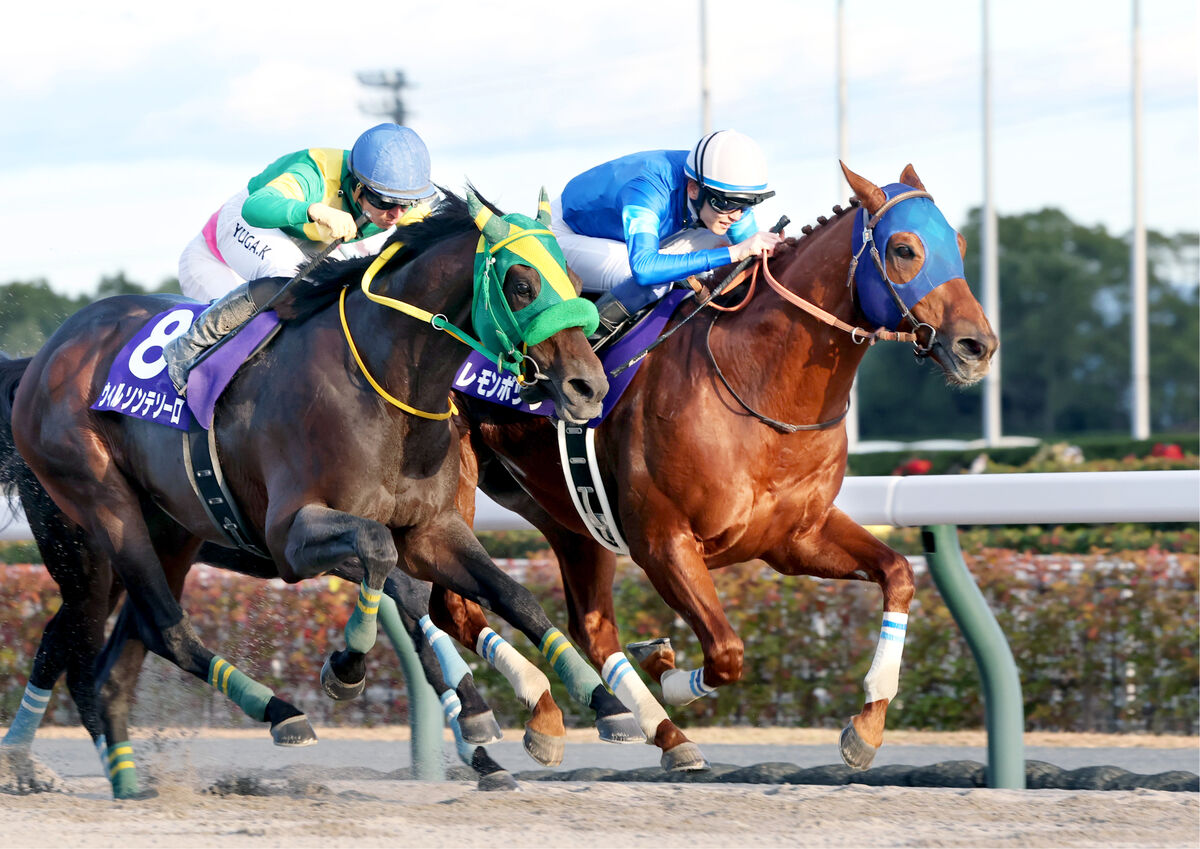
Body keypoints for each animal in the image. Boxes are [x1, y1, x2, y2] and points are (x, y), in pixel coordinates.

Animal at [2, 189, 648, 801]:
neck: (386, 386)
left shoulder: (432, 530)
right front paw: (353, 670)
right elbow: (387, 565)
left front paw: (599, 705)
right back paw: (277, 713)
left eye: (574, 279)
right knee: (152, 629)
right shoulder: (292, 537)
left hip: (170, 536)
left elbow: (512, 597)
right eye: (520, 282)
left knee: (112, 663)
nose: (589, 387)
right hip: (99, 519)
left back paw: (128, 784)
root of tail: (43, 355)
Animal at [441, 164, 993, 767]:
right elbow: (727, 652)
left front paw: (866, 727)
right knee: (455, 606)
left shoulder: (796, 539)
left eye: (961, 244)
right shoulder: (663, 542)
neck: (760, 389)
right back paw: (505, 714)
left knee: (589, 624)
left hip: (562, 509)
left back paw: (650, 729)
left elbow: (898, 574)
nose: (978, 346)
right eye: (904, 248)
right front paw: (666, 667)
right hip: (451, 493)